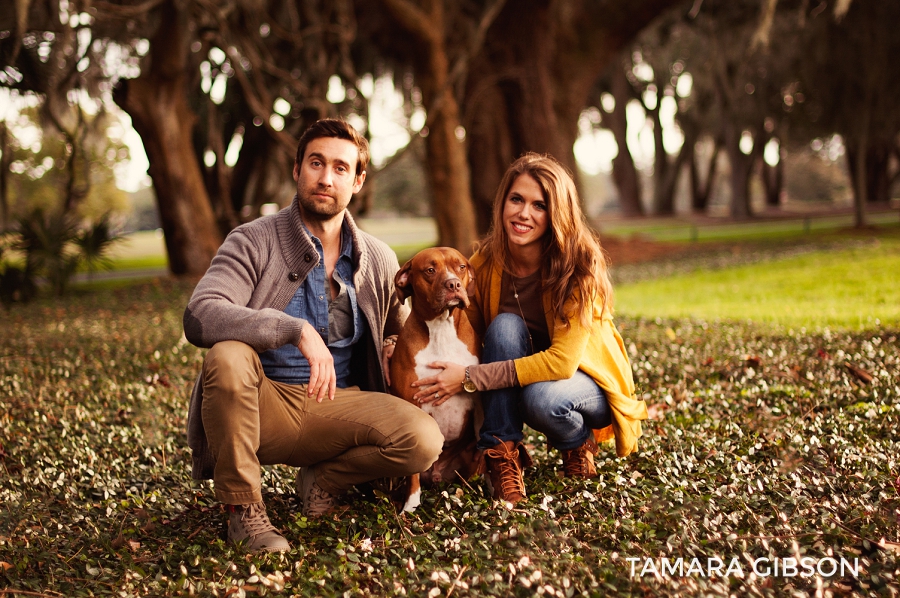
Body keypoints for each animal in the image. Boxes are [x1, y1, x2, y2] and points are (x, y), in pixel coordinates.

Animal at [388, 246, 486, 508]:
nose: (453, 284)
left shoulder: (480, 405)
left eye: (460, 266)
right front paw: (411, 505)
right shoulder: (413, 405)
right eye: (430, 270)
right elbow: (412, 474)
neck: (441, 328)